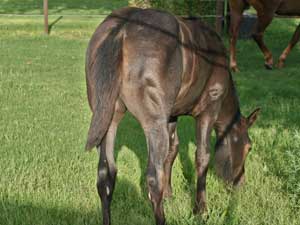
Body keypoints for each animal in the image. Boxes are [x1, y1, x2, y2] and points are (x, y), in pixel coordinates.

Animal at [85, 7, 260, 225]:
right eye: (249, 147)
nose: (240, 183)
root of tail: (121, 28)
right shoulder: (208, 111)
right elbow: (202, 156)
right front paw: (200, 209)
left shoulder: (171, 116)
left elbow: (173, 149)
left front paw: (169, 194)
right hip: (153, 122)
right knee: (153, 178)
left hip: (109, 117)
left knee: (105, 175)